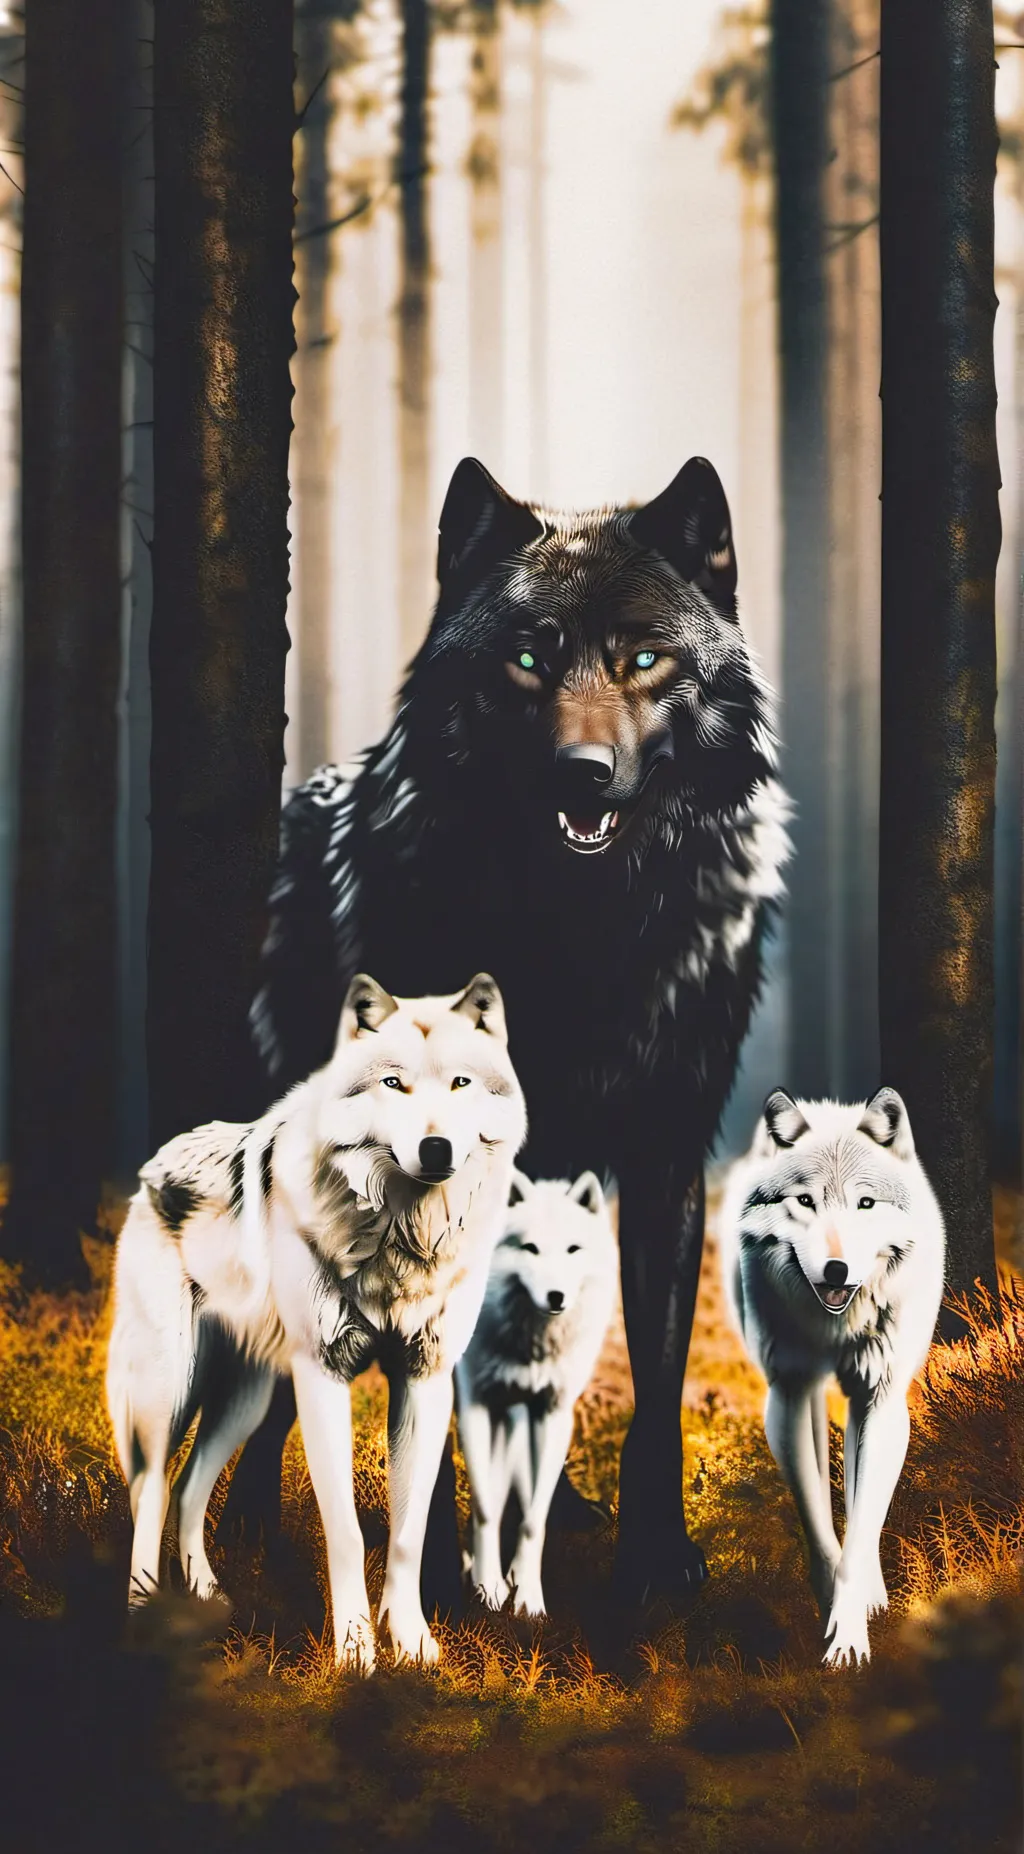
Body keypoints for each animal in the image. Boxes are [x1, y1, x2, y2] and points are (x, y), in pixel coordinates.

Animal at [106, 973, 527, 1671]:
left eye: (461, 1083)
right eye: (394, 1083)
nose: (435, 1148)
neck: (398, 1237)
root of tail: (152, 1168)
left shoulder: (425, 1379)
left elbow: (407, 1536)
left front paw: (411, 1644)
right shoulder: (324, 1377)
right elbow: (349, 1532)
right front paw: (355, 1653)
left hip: (245, 1400)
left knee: (190, 1489)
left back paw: (208, 1597)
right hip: (171, 1390)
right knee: (152, 1489)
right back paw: (142, 1611)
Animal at [455, 1169, 618, 1616]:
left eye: (572, 1249)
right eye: (530, 1248)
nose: (556, 1297)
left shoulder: (553, 1417)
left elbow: (533, 1519)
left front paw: (528, 1599)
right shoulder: (475, 1408)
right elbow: (487, 1509)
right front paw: (489, 1588)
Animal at [719, 1086, 946, 1667]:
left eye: (865, 1203)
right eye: (805, 1202)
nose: (837, 1270)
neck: (837, 1326)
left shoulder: (883, 1399)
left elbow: (862, 1525)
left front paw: (851, 1635)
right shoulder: (789, 1393)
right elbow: (820, 1527)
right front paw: (829, 1611)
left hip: (865, 1400)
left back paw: (874, 1593)